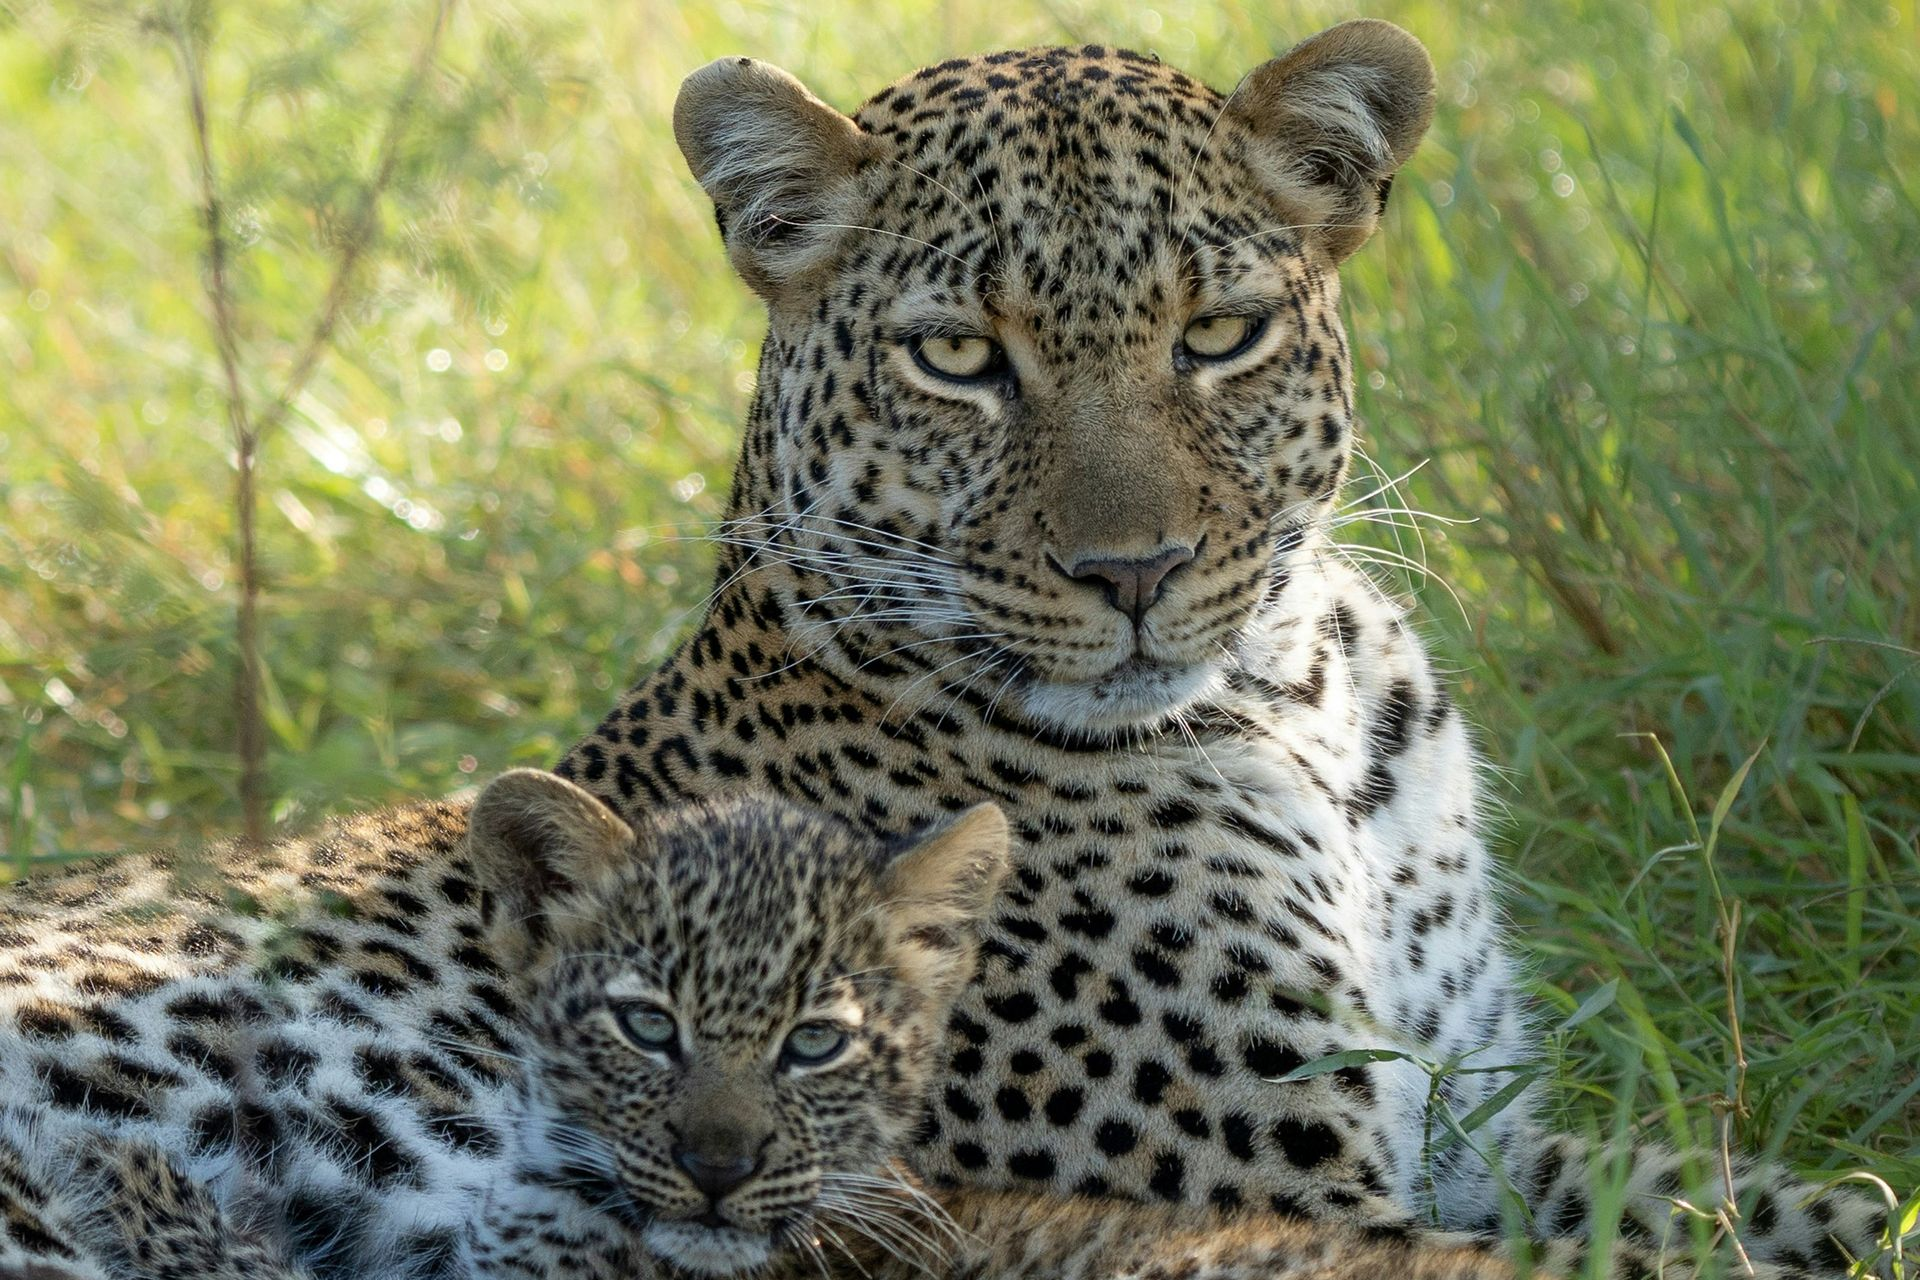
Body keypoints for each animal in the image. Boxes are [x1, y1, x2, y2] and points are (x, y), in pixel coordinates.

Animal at [551, 20, 1892, 1278]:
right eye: (956, 355)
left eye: (1220, 334)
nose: (1135, 570)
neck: (1312, 712)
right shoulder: (1286, 1206)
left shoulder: (1479, 1130)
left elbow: (1807, 1208)